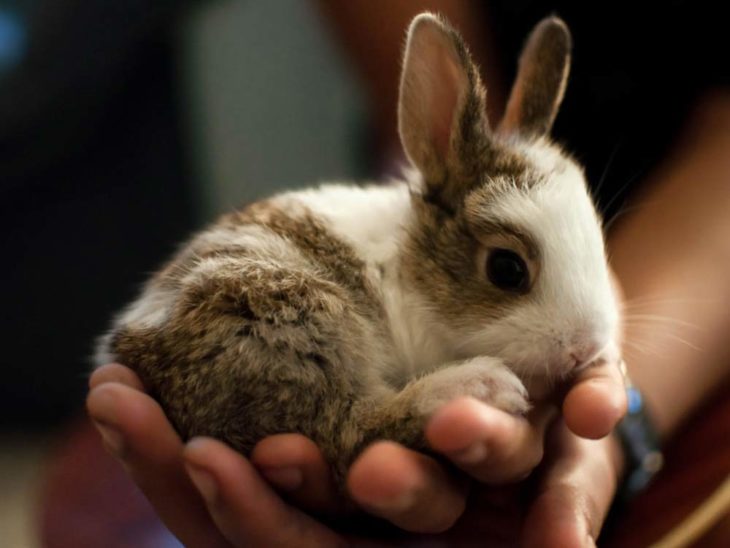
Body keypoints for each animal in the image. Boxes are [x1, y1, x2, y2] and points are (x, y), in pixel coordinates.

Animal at [95, 13, 620, 486]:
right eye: (507, 269)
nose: (585, 348)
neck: (407, 270)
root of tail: (135, 357)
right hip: (293, 322)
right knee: (349, 430)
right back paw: (478, 385)